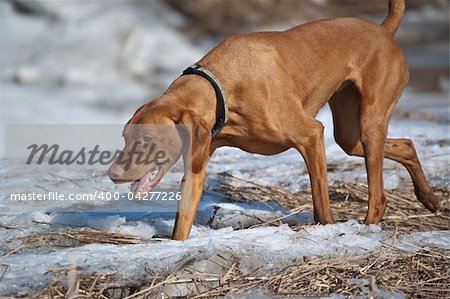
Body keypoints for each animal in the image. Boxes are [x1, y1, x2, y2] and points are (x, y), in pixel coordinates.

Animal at [108, 0, 440, 241]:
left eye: (147, 140)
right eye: (125, 137)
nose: (112, 174)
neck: (222, 87)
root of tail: (384, 30)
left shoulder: (311, 135)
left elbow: (321, 205)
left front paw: (328, 230)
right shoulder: (198, 160)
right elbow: (182, 223)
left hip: (370, 122)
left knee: (379, 194)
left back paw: (369, 226)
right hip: (350, 136)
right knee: (406, 145)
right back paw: (429, 199)